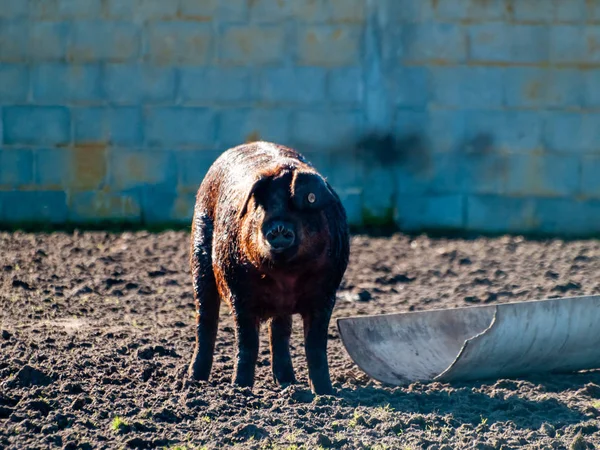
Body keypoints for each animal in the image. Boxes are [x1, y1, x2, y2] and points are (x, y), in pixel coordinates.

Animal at [185, 141, 350, 394]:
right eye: (263, 206)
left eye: (297, 206)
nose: (278, 227)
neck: (286, 274)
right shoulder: (239, 292)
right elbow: (247, 343)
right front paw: (240, 389)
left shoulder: (326, 294)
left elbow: (315, 346)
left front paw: (325, 393)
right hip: (200, 256)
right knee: (206, 320)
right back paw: (193, 381)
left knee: (280, 332)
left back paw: (288, 382)